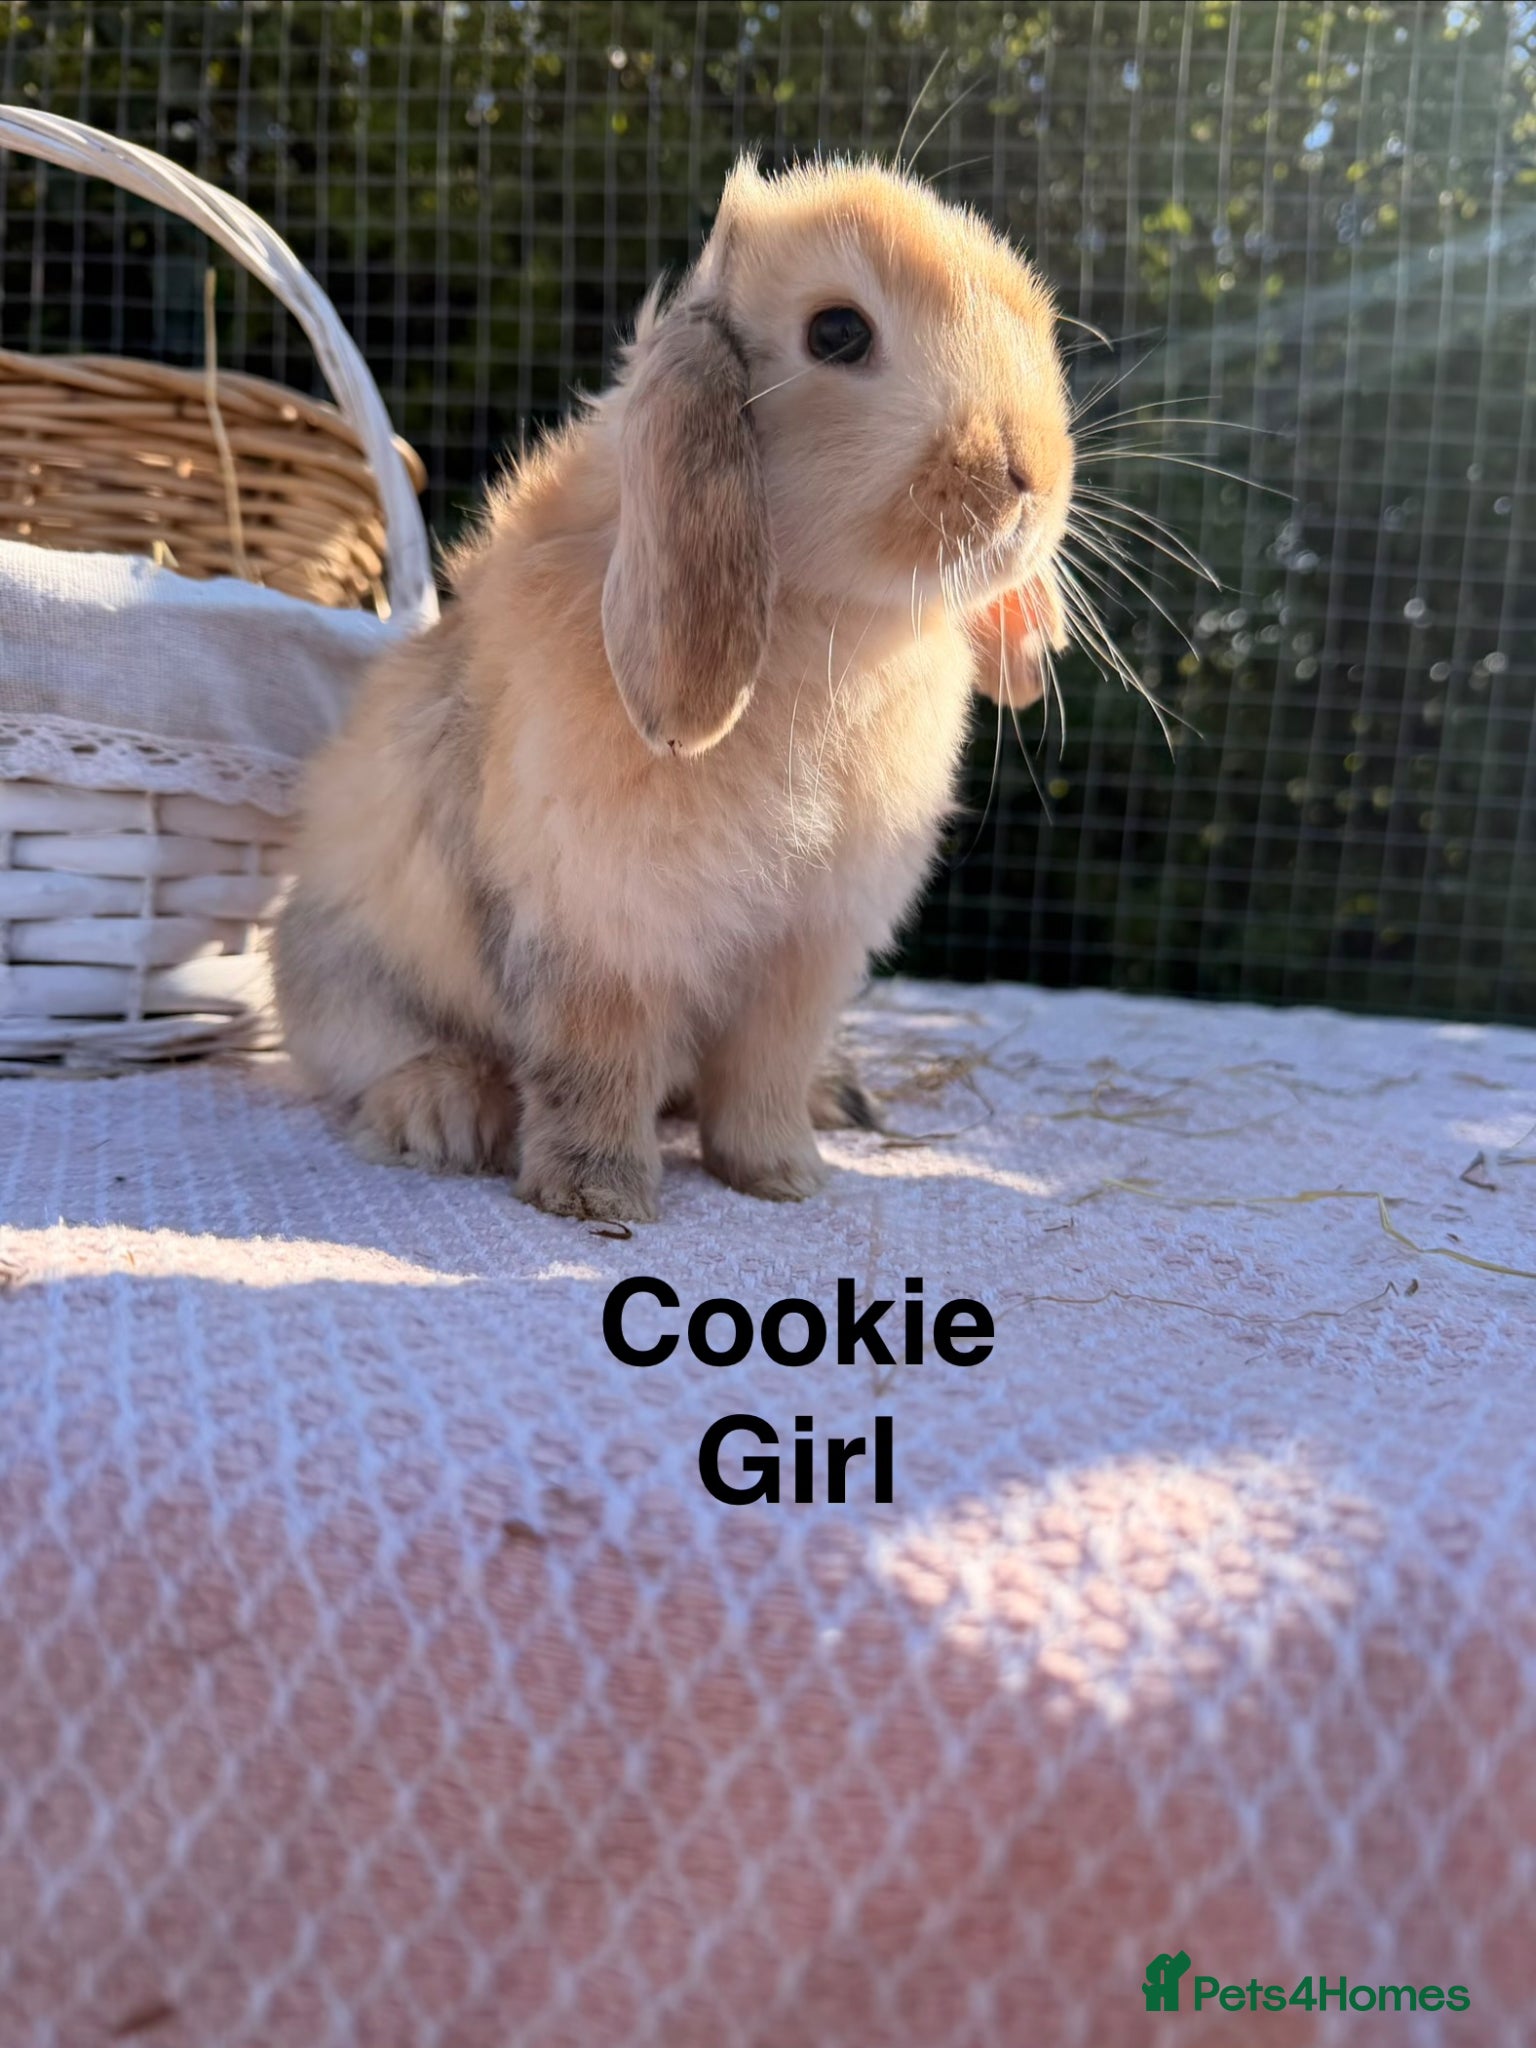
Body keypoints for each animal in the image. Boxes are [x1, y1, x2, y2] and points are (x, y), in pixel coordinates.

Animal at [272, 154, 1073, 1223]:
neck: (826, 616)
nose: (1033, 474)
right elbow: (594, 1069)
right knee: (381, 1060)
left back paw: (835, 1099)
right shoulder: (598, 936)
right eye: (838, 332)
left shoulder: (804, 958)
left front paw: (785, 1179)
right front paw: (598, 1196)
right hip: (347, 978)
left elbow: (764, 1076)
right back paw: (443, 1114)